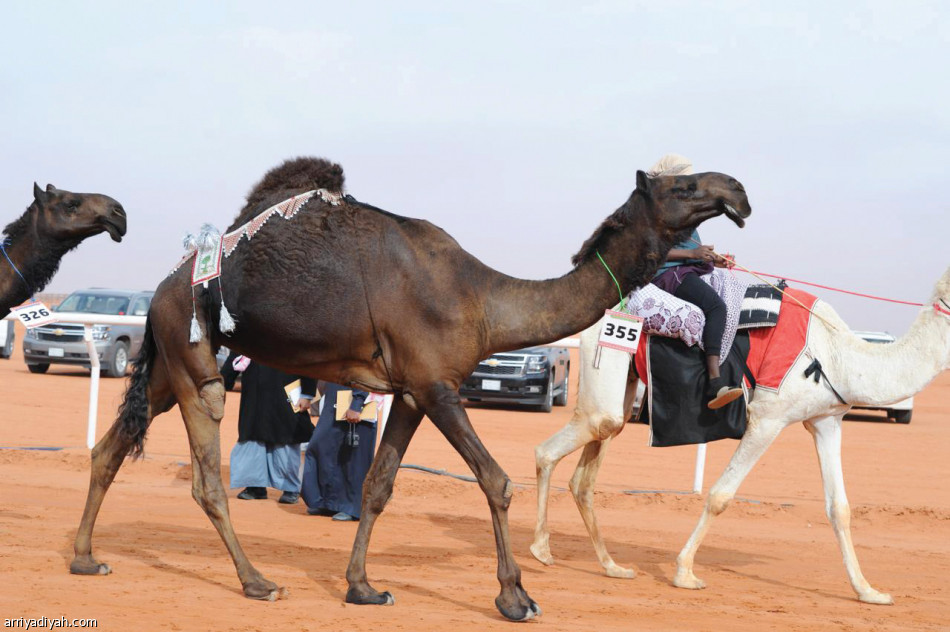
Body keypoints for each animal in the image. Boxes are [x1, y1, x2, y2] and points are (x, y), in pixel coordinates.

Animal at [70, 156, 752, 620]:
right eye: (682, 187)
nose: (738, 191)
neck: (483, 299)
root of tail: (163, 286)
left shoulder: (412, 391)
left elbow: (378, 485)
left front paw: (363, 588)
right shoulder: (439, 385)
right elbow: (496, 481)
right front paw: (516, 596)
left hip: (168, 361)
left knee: (110, 448)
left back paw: (84, 557)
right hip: (190, 351)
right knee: (208, 474)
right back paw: (258, 581)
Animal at [532, 266, 950, 604]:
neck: (838, 357)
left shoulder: (826, 421)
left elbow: (840, 508)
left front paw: (868, 591)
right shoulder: (768, 417)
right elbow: (720, 495)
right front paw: (684, 572)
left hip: (625, 382)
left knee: (590, 465)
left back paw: (611, 566)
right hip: (605, 362)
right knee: (554, 447)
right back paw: (541, 550)